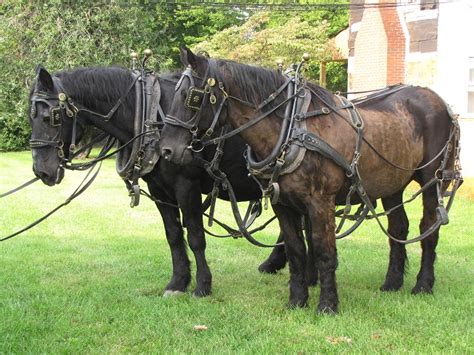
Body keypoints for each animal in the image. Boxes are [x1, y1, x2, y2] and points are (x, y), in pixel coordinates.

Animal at [28, 66, 292, 298]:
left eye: (49, 117)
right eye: (32, 118)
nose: (41, 171)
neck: (149, 114)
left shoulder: (186, 186)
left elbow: (195, 237)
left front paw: (203, 285)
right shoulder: (159, 189)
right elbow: (173, 235)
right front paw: (178, 282)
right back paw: (274, 263)